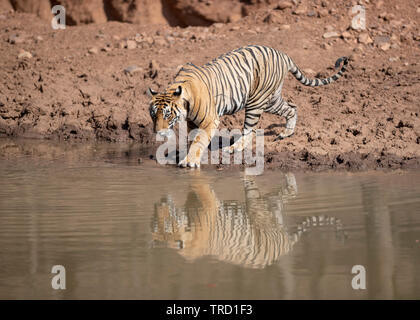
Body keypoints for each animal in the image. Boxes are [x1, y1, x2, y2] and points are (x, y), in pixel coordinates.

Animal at [148, 44, 348, 168]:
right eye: (153, 115)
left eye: (167, 115)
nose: (158, 132)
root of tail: (283, 55)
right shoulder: (192, 121)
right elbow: (192, 138)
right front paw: (186, 155)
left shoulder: (210, 120)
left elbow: (198, 140)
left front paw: (189, 161)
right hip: (271, 100)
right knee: (292, 107)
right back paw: (286, 133)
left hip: (256, 102)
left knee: (250, 131)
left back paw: (232, 148)